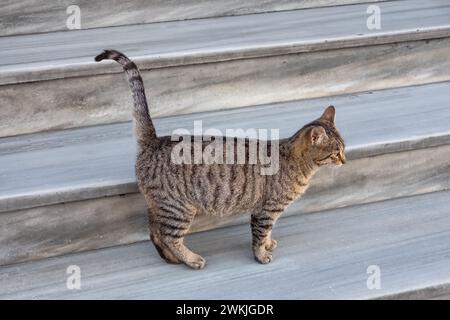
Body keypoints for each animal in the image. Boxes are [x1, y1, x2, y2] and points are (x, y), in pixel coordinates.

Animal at [95, 49, 346, 270]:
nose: (344, 160)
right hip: (180, 209)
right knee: (169, 236)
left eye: (343, 149)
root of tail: (154, 141)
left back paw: (170, 258)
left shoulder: (269, 211)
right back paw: (190, 259)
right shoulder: (265, 210)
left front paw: (268, 244)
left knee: (154, 231)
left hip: (161, 205)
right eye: (336, 152)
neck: (298, 162)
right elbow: (261, 233)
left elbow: (269, 231)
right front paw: (261, 254)